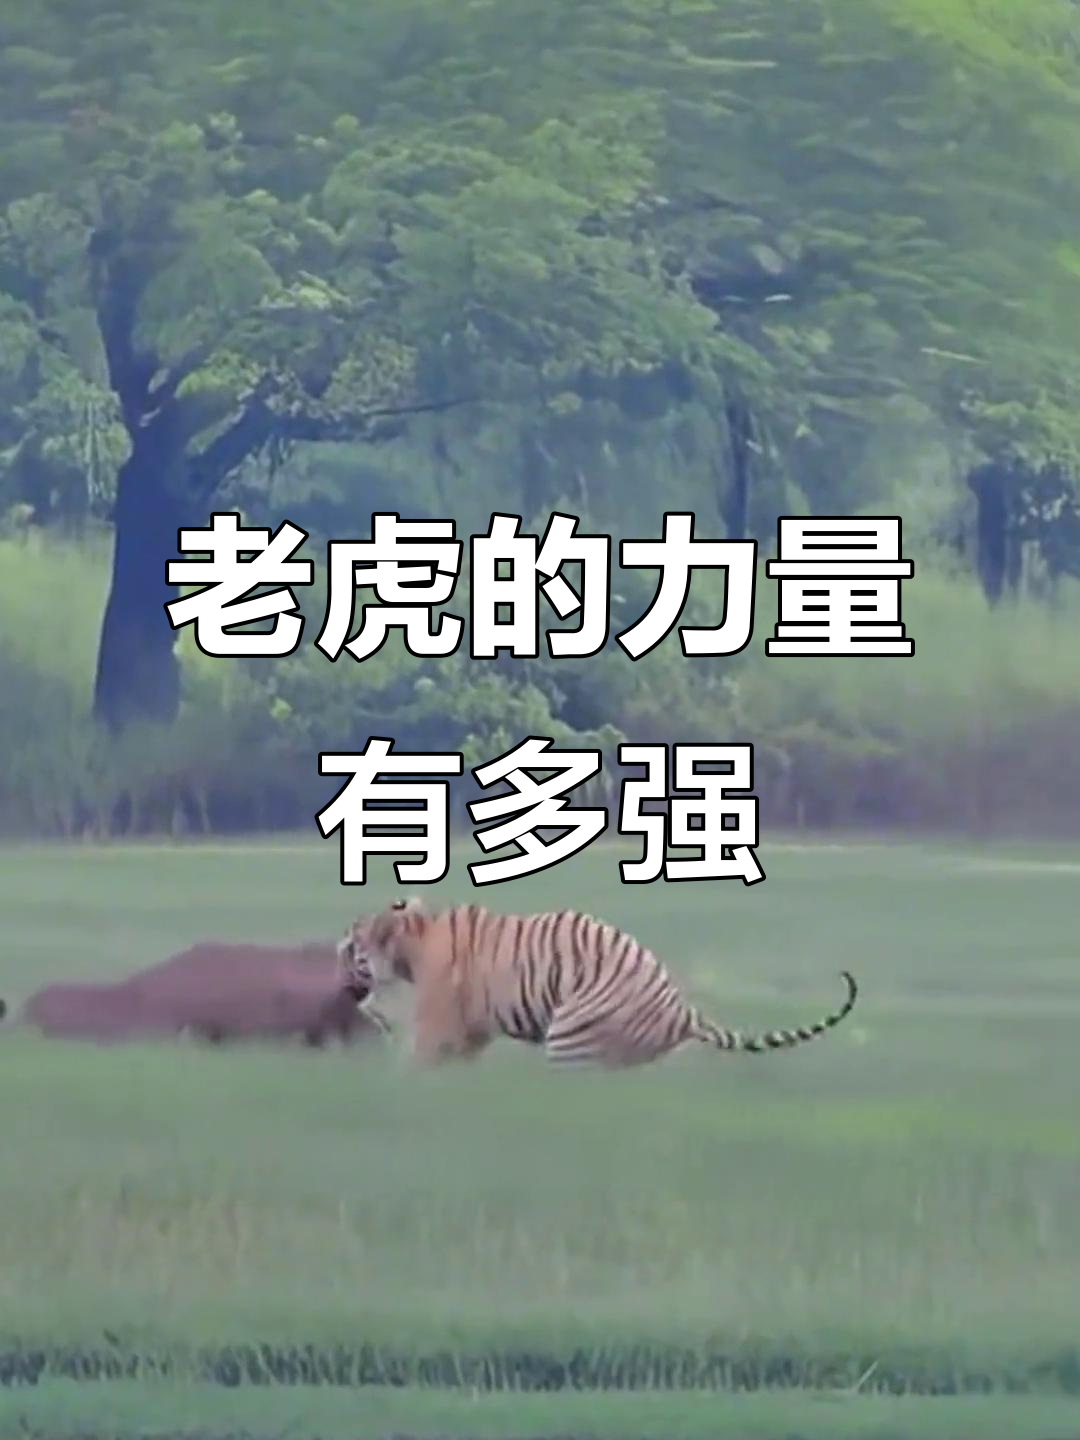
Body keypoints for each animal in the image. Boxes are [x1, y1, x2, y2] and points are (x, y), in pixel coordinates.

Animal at [337, 896, 858, 1068]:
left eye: (353, 939)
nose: (337, 950)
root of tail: (681, 1008)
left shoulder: (439, 1024)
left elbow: (416, 1059)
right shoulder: (469, 1034)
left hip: (571, 1038)